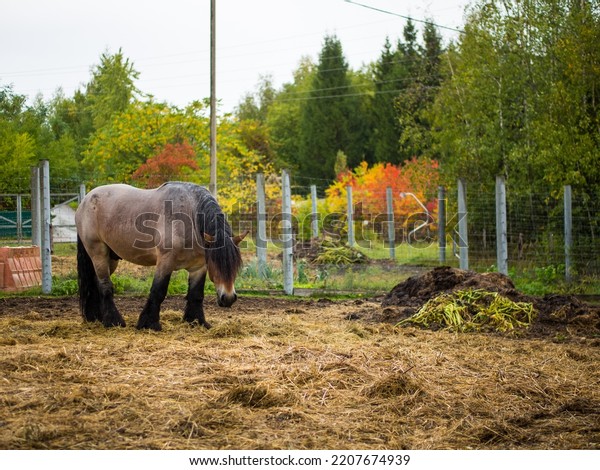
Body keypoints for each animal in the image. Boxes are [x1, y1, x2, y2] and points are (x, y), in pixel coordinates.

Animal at [75, 180, 248, 330]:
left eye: (235, 266)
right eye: (217, 264)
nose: (228, 298)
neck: (190, 217)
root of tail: (85, 201)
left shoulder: (199, 267)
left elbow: (196, 294)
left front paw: (196, 321)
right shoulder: (165, 262)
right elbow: (158, 291)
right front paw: (148, 324)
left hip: (111, 258)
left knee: (95, 283)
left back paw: (96, 317)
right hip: (98, 253)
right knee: (105, 286)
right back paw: (113, 321)